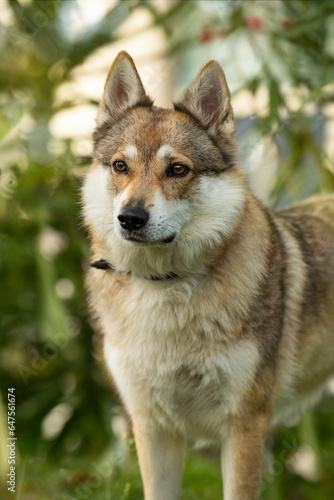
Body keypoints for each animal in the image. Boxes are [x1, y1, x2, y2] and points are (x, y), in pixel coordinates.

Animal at [83, 51, 334, 500]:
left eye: (178, 170)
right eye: (120, 166)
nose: (130, 218)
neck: (163, 288)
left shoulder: (245, 424)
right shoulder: (153, 428)